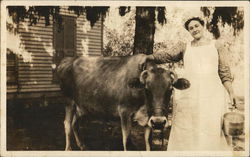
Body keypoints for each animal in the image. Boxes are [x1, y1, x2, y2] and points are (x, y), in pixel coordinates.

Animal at [56, 54, 189, 151]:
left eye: (170, 89)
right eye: (147, 89)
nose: (159, 122)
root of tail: (68, 59)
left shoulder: (148, 120)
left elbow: (148, 144)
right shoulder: (125, 112)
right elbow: (127, 141)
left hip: (82, 106)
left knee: (75, 123)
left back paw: (83, 146)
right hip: (69, 101)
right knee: (67, 124)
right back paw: (68, 149)